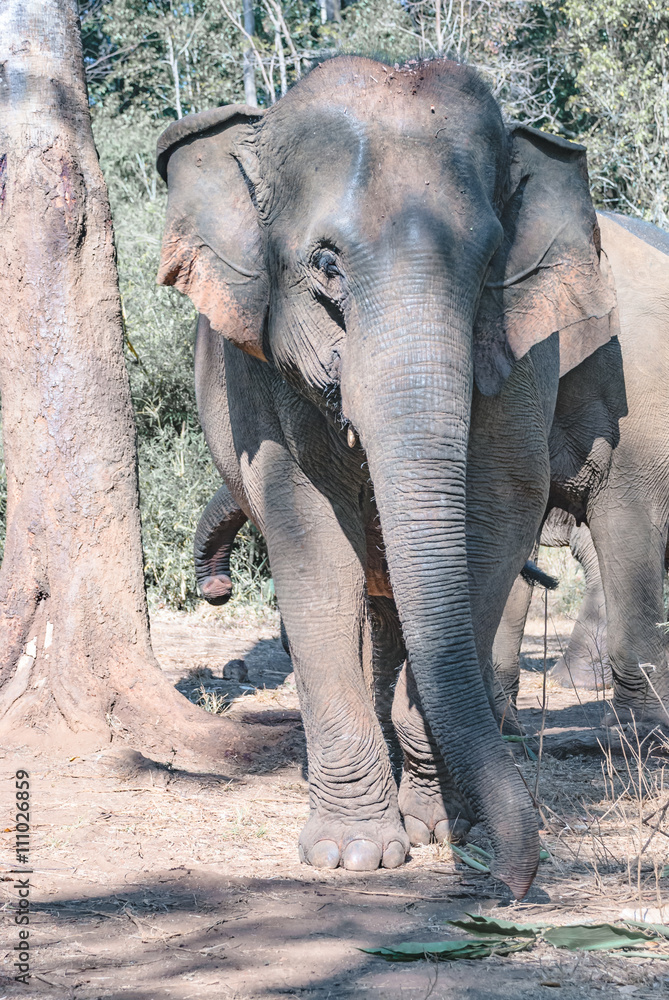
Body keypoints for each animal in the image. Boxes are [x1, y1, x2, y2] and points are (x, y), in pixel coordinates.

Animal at [156, 55, 618, 898]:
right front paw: (352, 854)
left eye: (489, 266)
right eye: (325, 265)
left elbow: (496, 518)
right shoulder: (262, 370)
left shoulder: (522, 353)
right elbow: (308, 535)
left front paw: (444, 831)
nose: (508, 886)